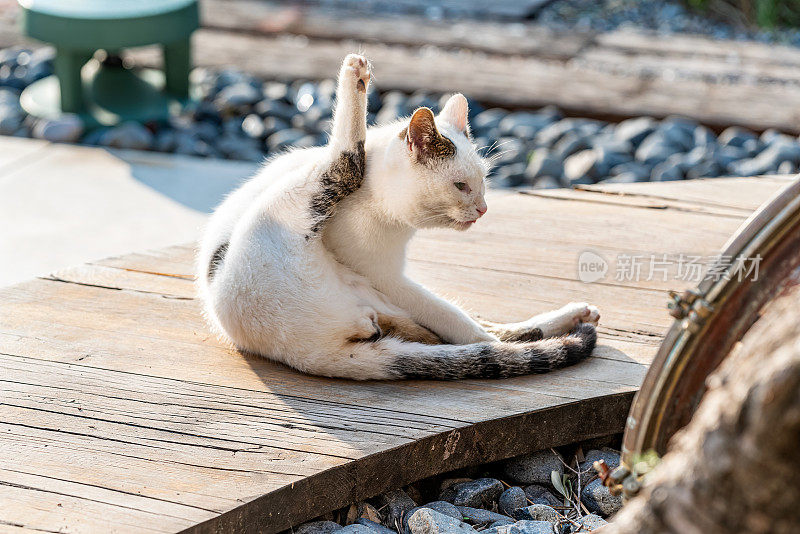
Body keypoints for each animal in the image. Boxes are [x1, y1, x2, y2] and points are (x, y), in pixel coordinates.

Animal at [197, 53, 596, 382]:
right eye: (461, 186)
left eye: (484, 182)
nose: (483, 209)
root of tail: (311, 353)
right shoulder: (385, 275)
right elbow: (457, 322)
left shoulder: (388, 283)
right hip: (291, 208)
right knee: (346, 160)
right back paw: (355, 72)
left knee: (470, 332)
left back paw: (572, 317)